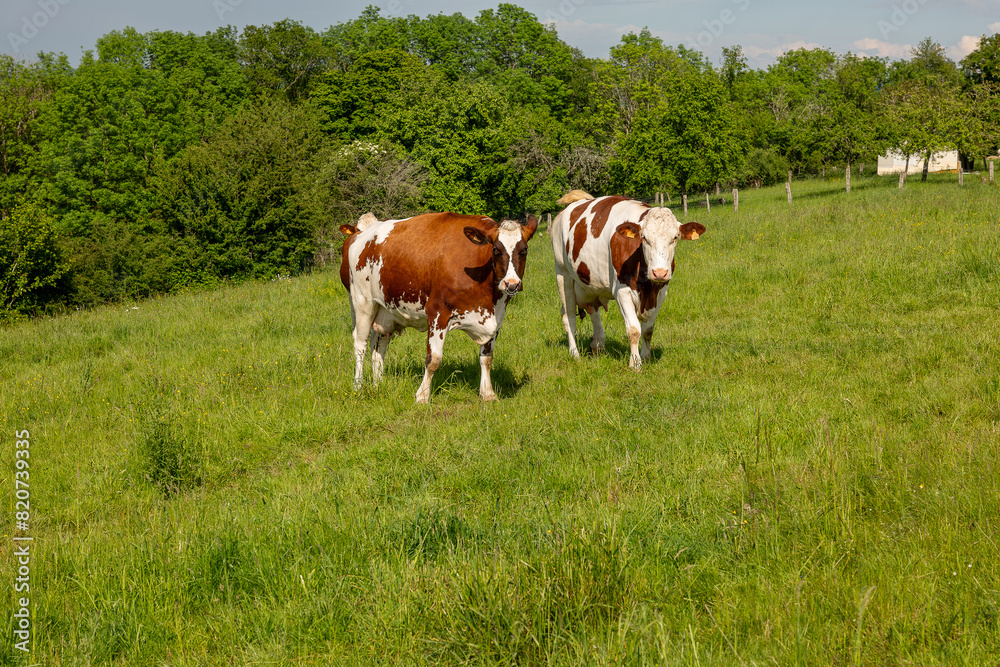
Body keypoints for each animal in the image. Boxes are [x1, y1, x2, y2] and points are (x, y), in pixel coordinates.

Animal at [340, 213, 536, 402]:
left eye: (524, 250)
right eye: (496, 250)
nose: (512, 284)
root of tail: (361, 234)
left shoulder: (496, 318)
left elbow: (487, 358)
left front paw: (488, 394)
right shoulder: (437, 313)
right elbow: (433, 359)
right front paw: (422, 396)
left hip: (385, 311)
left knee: (378, 345)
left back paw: (378, 383)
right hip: (362, 303)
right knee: (360, 344)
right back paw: (358, 386)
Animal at [552, 190, 708, 370]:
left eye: (675, 237)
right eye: (644, 238)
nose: (659, 273)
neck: (647, 287)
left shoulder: (661, 291)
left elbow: (648, 330)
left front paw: (645, 358)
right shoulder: (622, 291)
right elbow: (634, 330)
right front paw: (635, 364)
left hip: (591, 284)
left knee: (594, 311)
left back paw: (597, 345)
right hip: (563, 275)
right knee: (569, 318)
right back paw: (575, 354)